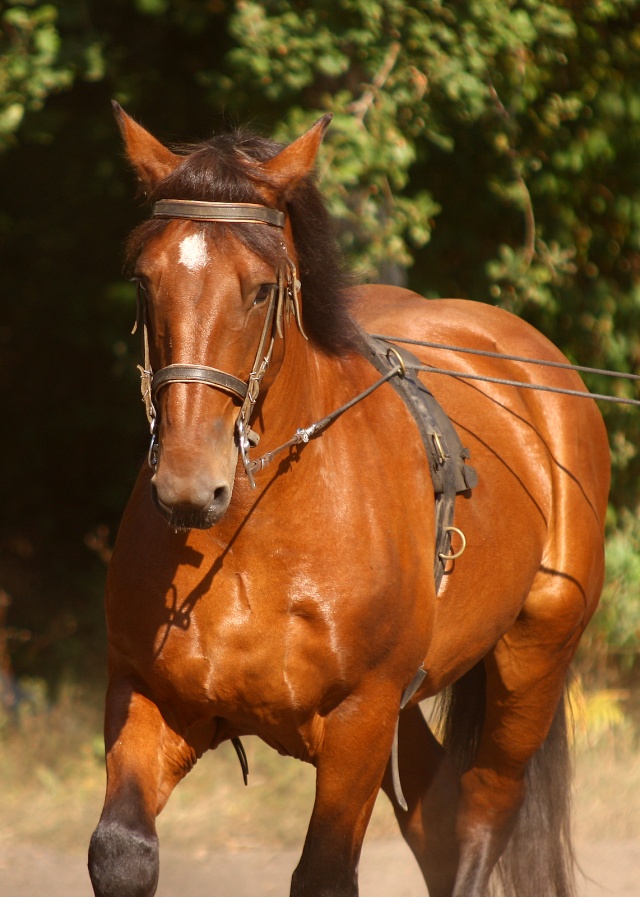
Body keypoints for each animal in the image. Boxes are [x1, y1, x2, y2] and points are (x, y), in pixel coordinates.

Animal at [87, 105, 608, 896]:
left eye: (261, 288)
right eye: (145, 282)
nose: (188, 483)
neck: (253, 539)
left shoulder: (362, 716)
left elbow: (326, 871)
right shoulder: (149, 692)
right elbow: (120, 853)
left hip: (535, 651)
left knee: (484, 808)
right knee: (435, 815)